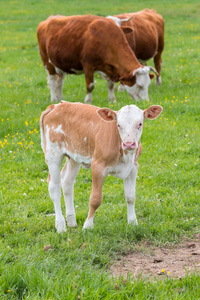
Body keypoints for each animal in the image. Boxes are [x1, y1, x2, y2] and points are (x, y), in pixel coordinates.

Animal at [39, 101, 162, 232]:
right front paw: (88, 226)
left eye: (140, 124)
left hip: (74, 156)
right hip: (53, 154)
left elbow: (130, 197)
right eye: (118, 125)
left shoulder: (133, 167)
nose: (129, 144)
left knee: (67, 182)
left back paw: (71, 221)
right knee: (54, 187)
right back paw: (61, 225)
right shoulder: (98, 166)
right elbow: (95, 199)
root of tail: (57, 105)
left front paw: (133, 223)